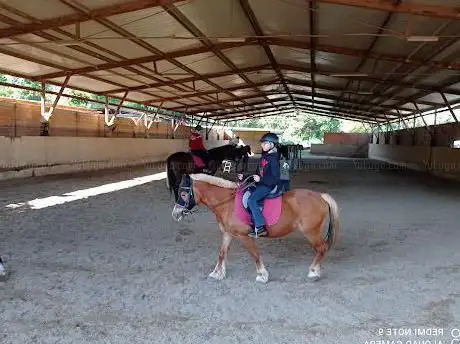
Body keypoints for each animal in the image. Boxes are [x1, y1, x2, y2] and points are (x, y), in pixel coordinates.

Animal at [171, 173, 340, 284]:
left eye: (184, 193)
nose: (175, 214)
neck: (227, 203)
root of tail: (320, 196)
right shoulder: (227, 233)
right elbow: (221, 253)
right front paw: (217, 273)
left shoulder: (244, 236)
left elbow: (255, 254)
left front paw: (262, 275)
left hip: (312, 232)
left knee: (321, 248)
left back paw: (313, 272)